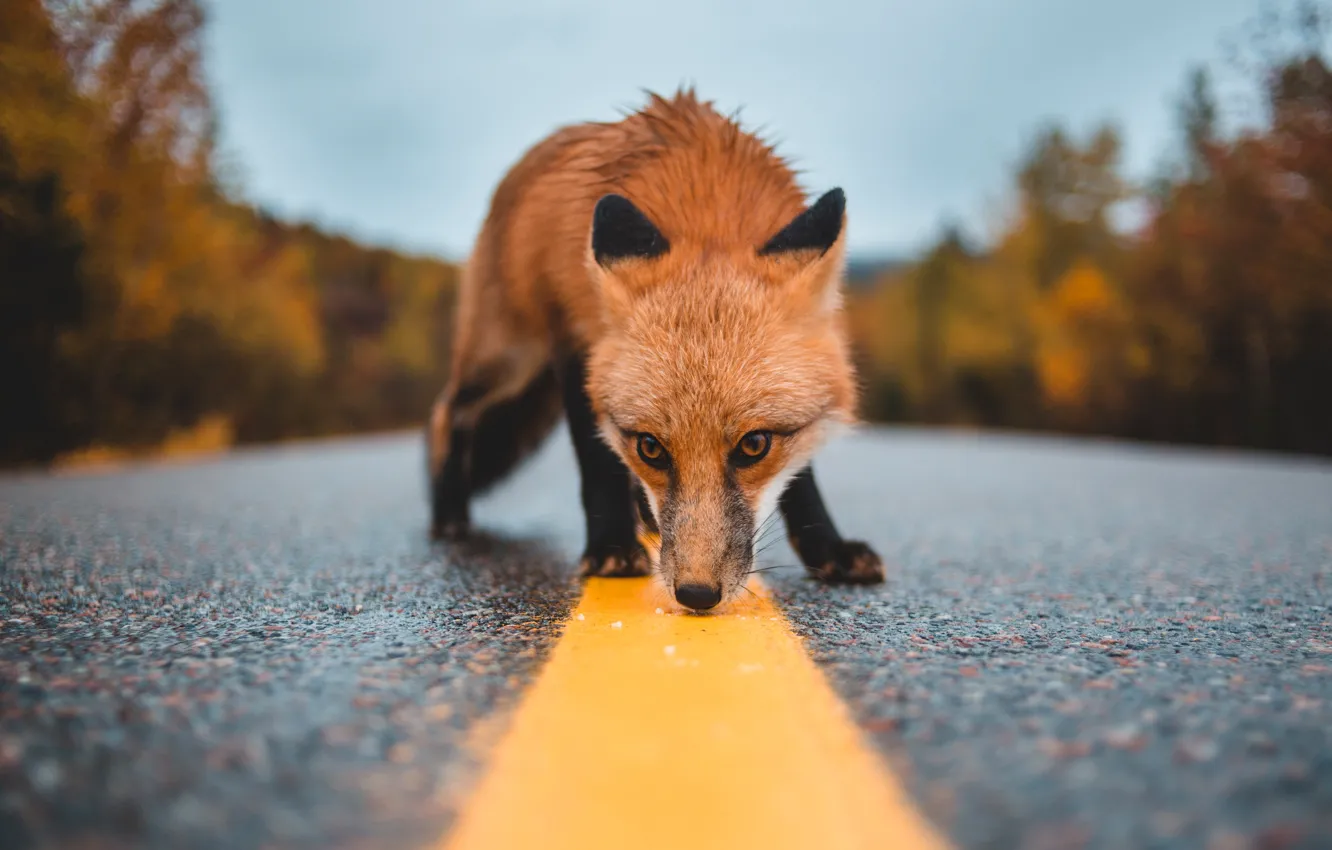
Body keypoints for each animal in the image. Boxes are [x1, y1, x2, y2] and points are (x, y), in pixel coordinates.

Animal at [428, 87, 884, 612]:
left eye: (754, 445)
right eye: (651, 448)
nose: (697, 594)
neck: (706, 204)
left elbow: (801, 477)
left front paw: (827, 548)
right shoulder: (576, 345)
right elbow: (597, 459)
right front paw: (610, 547)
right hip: (509, 359)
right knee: (448, 411)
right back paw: (448, 511)